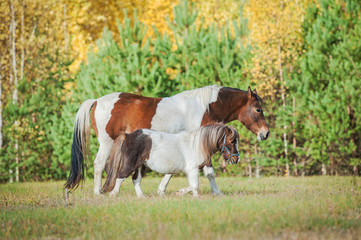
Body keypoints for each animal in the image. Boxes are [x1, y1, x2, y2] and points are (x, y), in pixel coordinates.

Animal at [100, 124, 239, 197]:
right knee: (120, 176)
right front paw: (184, 194)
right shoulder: (192, 169)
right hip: (130, 164)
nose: (236, 158)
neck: (197, 144)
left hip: (140, 166)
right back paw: (114, 194)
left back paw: (141, 197)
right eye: (232, 141)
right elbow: (195, 185)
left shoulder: (201, 167)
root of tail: (128, 135)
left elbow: (207, 178)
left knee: (136, 179)